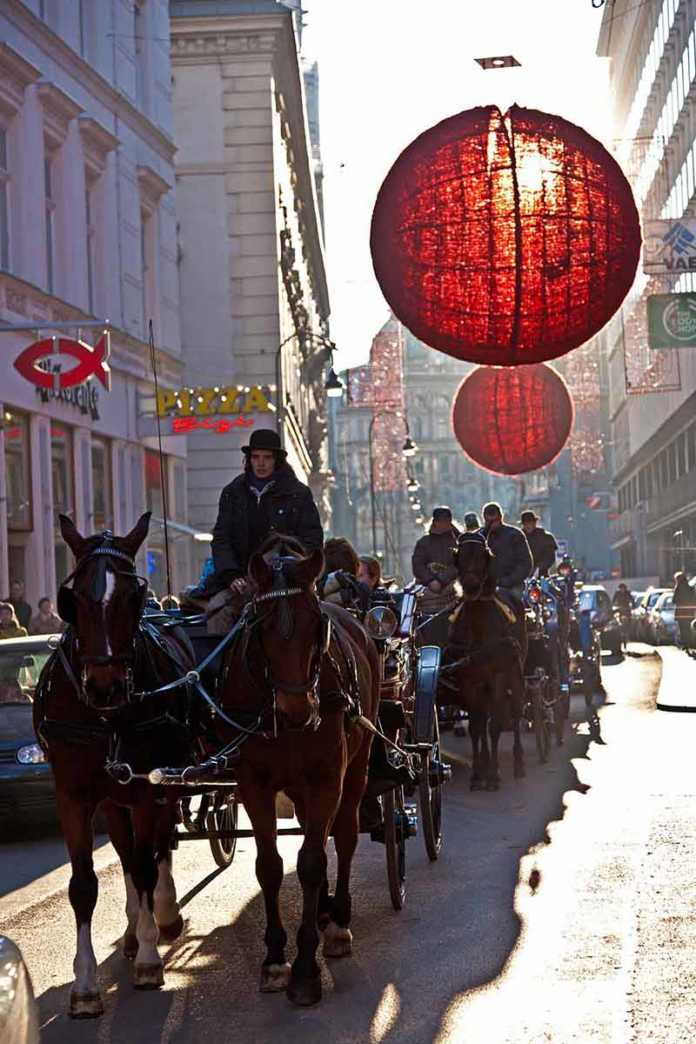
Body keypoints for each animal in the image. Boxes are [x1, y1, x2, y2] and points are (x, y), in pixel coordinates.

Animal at [33, 513, 193, 1018]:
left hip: (162, 784)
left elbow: (145, 864)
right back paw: (133, 928)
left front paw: (148, 959)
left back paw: (161, 915)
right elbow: (84, 885)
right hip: (113, 798)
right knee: (127, 852)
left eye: (130, 596)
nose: (104, 686)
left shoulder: (146, 788)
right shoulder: (73, 795)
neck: (105, 718)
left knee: (155, 848)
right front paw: (85, 985)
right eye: (75, 597)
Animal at [218, 538, 381, 1002]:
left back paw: (338, 920)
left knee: (343, 836)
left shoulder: (326, 777)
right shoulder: (253, 784)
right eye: (261, 627)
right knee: (316, 831)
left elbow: (311, 862)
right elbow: (270, 866)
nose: (297, 711)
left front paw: (306, 968)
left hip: (356, 767)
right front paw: (275, 958)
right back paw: (324, 910)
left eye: (315, 624)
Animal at [446, 534, 528, 785]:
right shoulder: (468, 680)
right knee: (482, 720)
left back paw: (518, 762)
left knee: (515, 711)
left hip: (515, 672)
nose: (471, 587)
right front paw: (477, 774)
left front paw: (493, 774)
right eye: (459, 556)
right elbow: (476, 726)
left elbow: (494, 725)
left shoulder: (498, 677)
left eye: (483, 555)